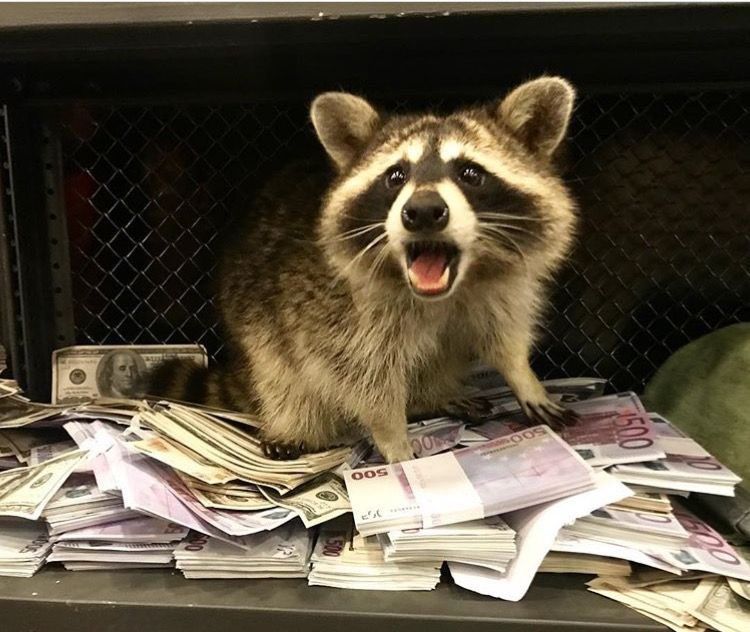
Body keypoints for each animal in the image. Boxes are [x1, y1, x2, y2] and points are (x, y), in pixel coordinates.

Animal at [148, 77, 579, 463]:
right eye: (396, 176)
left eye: (470, 173)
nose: (423, 211)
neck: (451, 289)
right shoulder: (338, 314)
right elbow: (364, 381)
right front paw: (392, 436)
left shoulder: (502, 288)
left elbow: (504, 336)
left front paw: (524, 376)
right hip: (256, 324)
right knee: (280, 375)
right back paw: (291, 425)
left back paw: (431, 396)